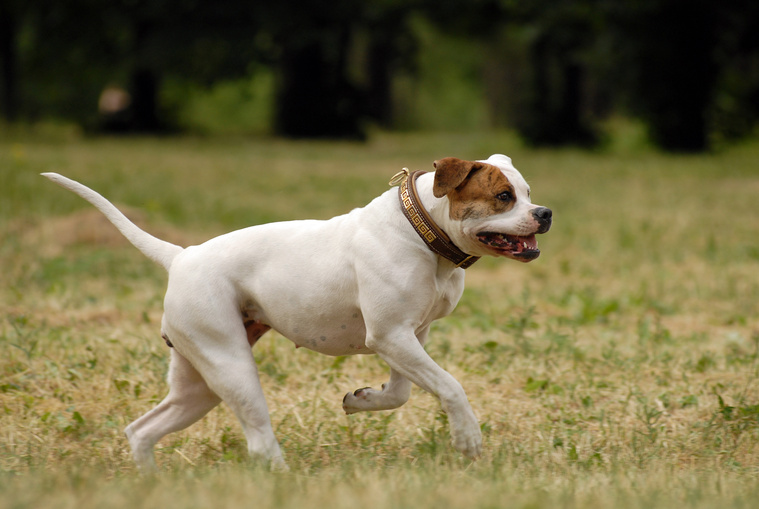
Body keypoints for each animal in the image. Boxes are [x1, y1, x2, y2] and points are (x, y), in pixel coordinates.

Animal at [41, 154, 552, 468]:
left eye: (528, 192)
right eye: (504, 196)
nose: (544, 213)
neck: (423, 230)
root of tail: (181, 256)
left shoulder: (408, 337)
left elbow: (402, 392)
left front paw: (361, 400)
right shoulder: (390, 336)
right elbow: (451, 387)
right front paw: (467, 438)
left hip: (197, 384)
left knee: (142, 430)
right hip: (232, 366)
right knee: (259, 442)